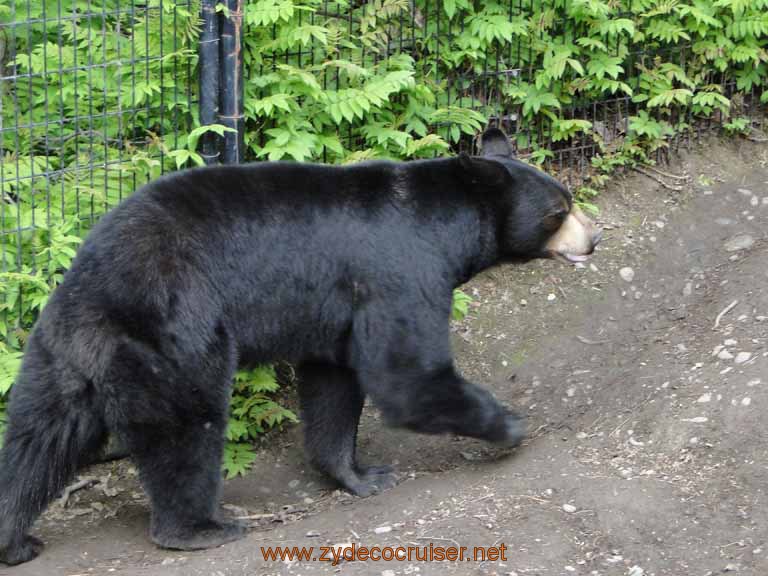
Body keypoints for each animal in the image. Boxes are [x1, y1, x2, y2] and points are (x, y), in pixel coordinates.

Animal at [0, 128, 600, 564]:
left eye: (570, 200)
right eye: (558, 210)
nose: (594, 238)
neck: (447, 227)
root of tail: (92, 288)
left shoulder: (335, 310)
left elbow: (334, 384)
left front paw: (358, 475)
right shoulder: (399, 271)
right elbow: (405, 374)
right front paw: (509, 425)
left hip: (58, 356)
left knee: (35, 443)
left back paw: (15, 540)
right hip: (171, 331)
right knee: (186, 427)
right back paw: (199, 528)